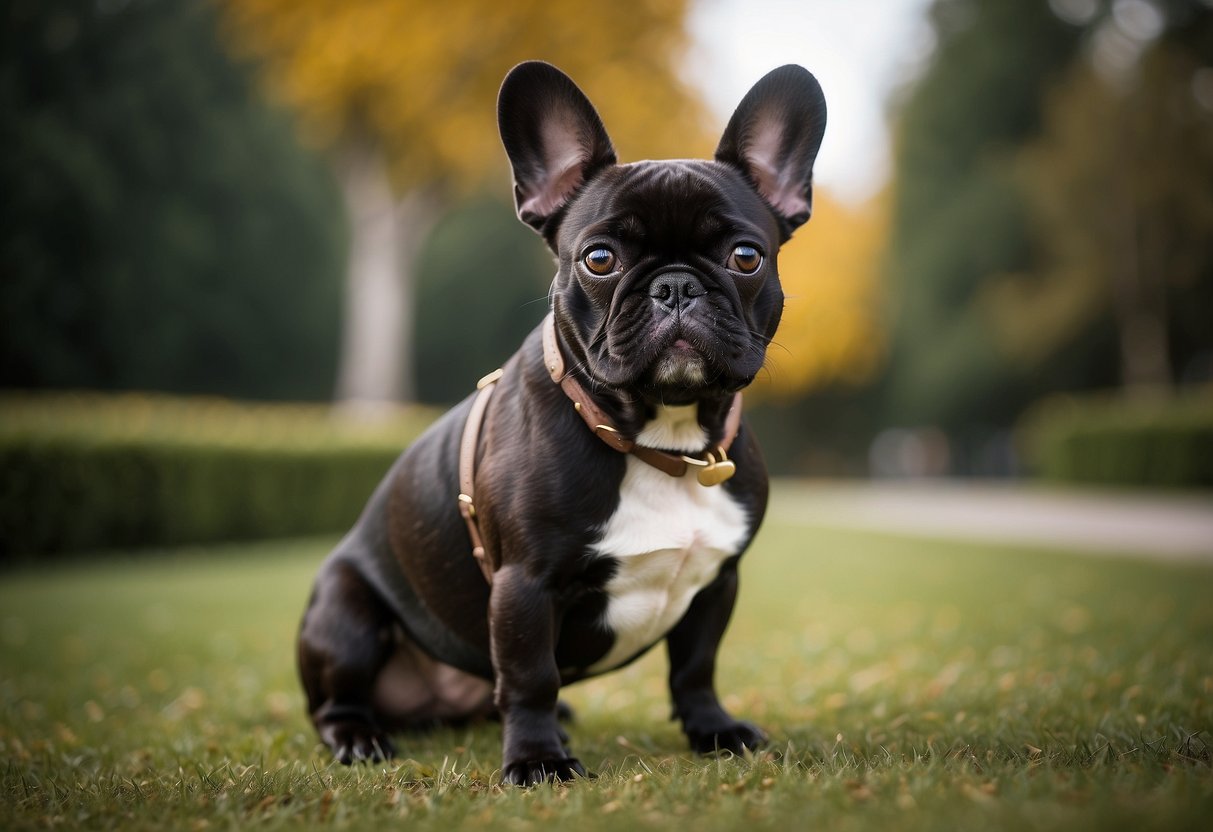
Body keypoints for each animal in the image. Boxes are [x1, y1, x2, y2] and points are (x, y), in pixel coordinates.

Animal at [297, 61, 824, 785]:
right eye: (599, 259)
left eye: (746, 257)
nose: (675, 286)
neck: (659, 438)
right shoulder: (525, 585)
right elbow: (530, 675)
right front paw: (538, 761)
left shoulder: (718, 579)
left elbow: (696, 667)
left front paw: (714, 731)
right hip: (343, 612)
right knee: (338, 697)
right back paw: (358, 736)